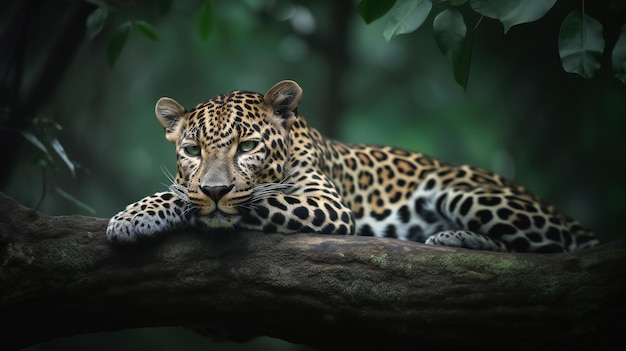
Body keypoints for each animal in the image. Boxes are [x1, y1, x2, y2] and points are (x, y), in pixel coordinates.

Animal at [106, 80, 596, 253]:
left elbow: (242, 202)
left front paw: (133, 216)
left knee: (558, 248)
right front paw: (138, 215)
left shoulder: (327, 204)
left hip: (466, 192)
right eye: (192, 151)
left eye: (247, 146)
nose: (213, 190)